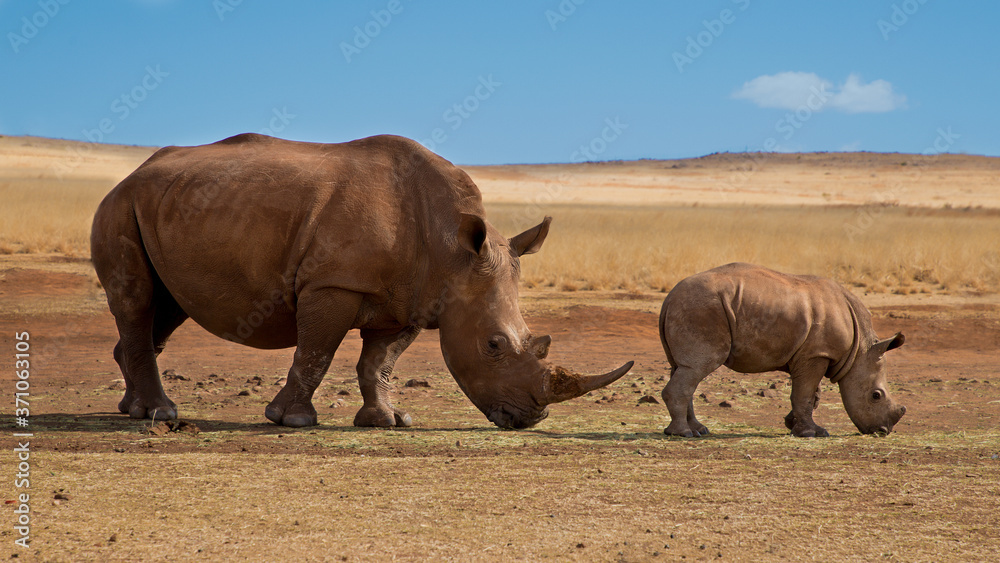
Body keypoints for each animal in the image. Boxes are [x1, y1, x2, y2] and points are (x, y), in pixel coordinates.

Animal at [91, 133, 633, 429]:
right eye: (494, 345)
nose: (531, 419)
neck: (451, 249)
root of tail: (131, 174)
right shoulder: (333, 284)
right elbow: (315, 353)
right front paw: (293, 420)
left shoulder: (414, 297)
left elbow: (380, 363)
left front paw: (391, 422)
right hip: (120, 207)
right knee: (140, 302)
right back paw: (161, 415)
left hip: (164, 207)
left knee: (166, 307)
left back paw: (132, 409)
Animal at [658, 263, 906, 437]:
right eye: (875, 396)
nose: (883, 431)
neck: (860, 351)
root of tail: (668, 298)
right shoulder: (817, 354)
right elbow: (805, 394)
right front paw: (811, 433)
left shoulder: (811, 354)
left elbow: (811, 394)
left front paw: (792, 425)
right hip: (702, 308)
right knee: (697, 367)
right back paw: (684, 434)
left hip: (693, 307)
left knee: (683, 369)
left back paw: (698, 430)